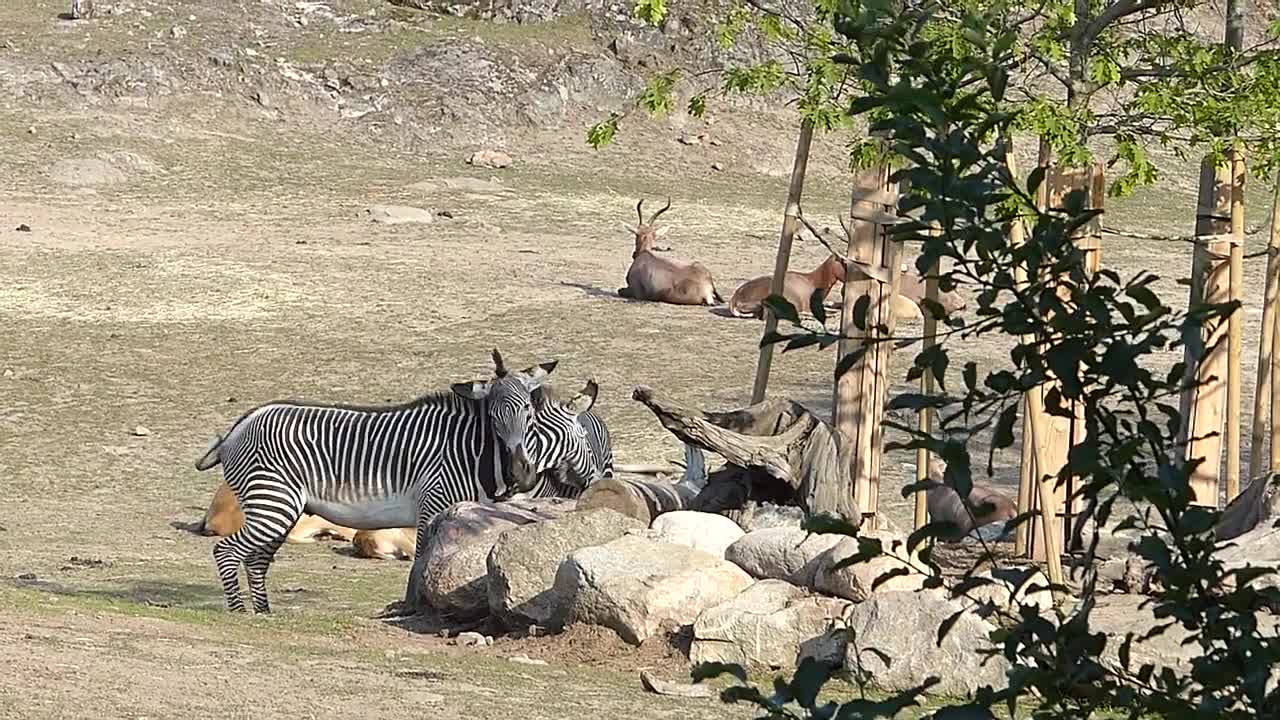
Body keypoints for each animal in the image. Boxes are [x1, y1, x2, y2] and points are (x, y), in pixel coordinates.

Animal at [192, 348, 601, 609]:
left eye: (528, 415)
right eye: (494, 417)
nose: (522, 472)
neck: (475, 448)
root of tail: (239, 425)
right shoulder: (433, 505)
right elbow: (420, 561)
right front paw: (412, 606)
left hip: (281, 507)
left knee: (256, 560)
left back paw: (263, 614)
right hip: (272, 503)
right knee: (227, 552)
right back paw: (240, 613)